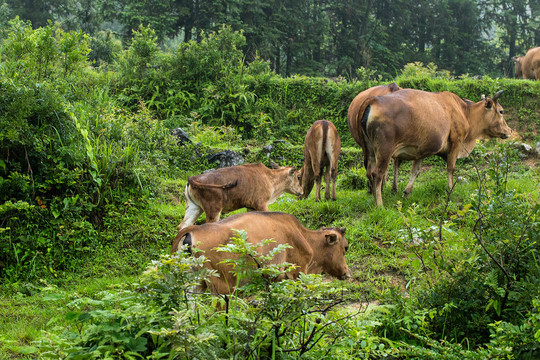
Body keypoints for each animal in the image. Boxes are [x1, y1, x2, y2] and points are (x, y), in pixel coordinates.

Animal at [171, 211, 352, 296]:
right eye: (345, 247)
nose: (347, 273)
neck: (303, 236)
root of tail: (194, 229)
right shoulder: (298, 273)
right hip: (222, 288)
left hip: (195, 285)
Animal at [360, 89, 512, 207]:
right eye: (501, 111)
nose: (509, 130)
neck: (464, 112)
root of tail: (373, 100)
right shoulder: (456, 143)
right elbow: (451, 168)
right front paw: (450, 189)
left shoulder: (421, 150)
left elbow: (415, 171)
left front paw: (407, 192)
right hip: (384, 150)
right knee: (377, 174)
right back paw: (379, 204)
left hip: (370, 150)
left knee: (370, 173)